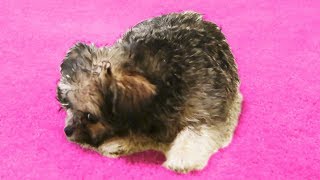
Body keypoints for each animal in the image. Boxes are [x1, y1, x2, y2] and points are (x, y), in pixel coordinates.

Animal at [56, 10, 241, 173]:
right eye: (67, 105)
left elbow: (196, 133)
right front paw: (120, 141)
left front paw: (183, 157)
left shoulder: (206, 110)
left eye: (90, 117)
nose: (67, 130)